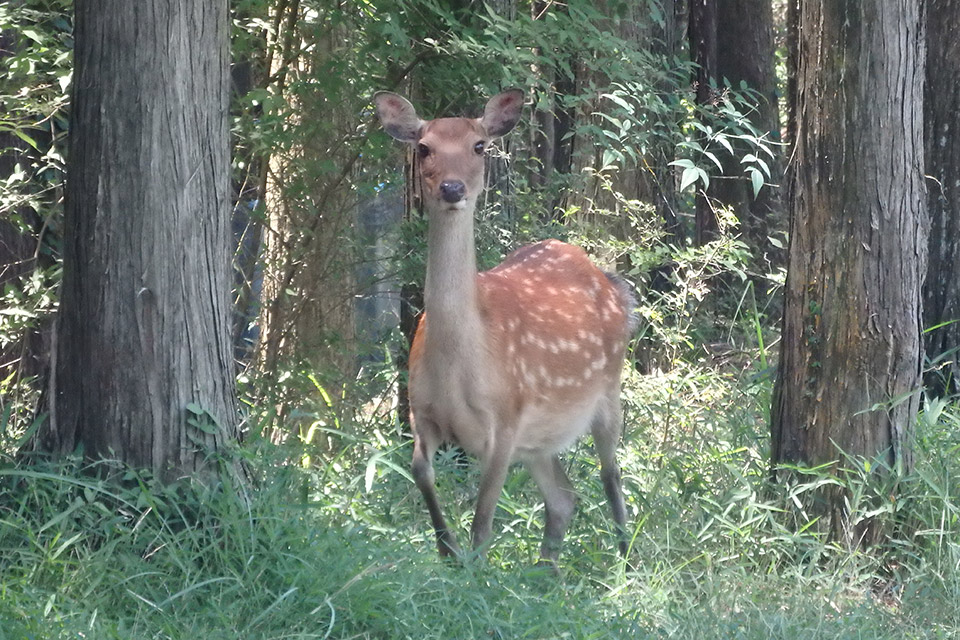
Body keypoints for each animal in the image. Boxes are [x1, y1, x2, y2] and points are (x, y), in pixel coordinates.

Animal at [376, 87, 636, 564]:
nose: (452, 188)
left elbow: (482, 520)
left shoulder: (506, 419)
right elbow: (420, 471)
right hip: (540, 439)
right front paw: (447, 550)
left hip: (608, 391)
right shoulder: (421, 410)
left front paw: (472, 567)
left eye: (479, 146)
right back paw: (546, 573)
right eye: (424, 148)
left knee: (611, 477)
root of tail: (609, 281)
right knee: (564, 497)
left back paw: (625, 563)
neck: (459, 362)